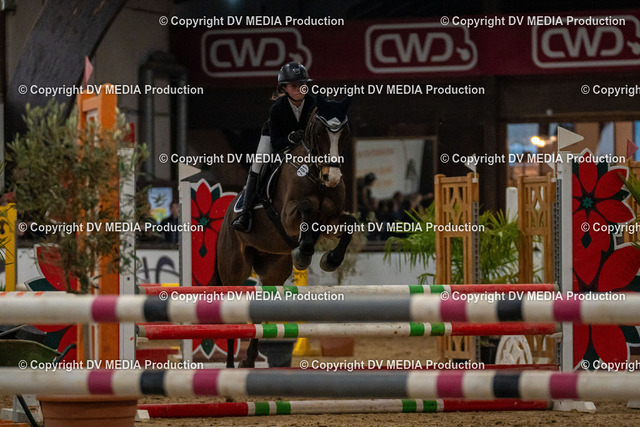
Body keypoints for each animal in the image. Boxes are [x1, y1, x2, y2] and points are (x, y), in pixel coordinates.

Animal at [215, 95, 356, 367]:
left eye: (344, 133)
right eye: (321, 132)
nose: (332, 177)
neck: (315, 173)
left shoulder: (332, 220)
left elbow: (350, 224)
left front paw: (330, 259)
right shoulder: (288, 216)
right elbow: (305, 207)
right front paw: (303, 252)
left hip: (273, 270)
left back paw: (248, 361)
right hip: (234, 269)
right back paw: (229, 366)